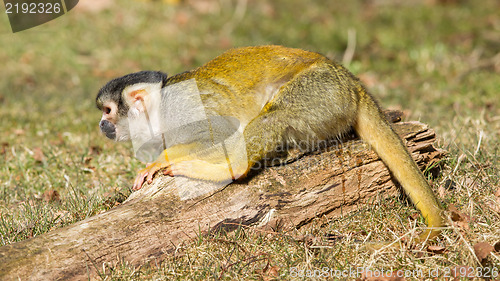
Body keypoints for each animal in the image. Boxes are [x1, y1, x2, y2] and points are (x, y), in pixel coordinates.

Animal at [97, 44, 446, 240]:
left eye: (108, 111)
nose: (102, 125)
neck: (157, 111)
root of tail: (352, 82)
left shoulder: (180, 109)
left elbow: (217, 132)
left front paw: (160, 161)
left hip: (322, 89)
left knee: (274, 115)